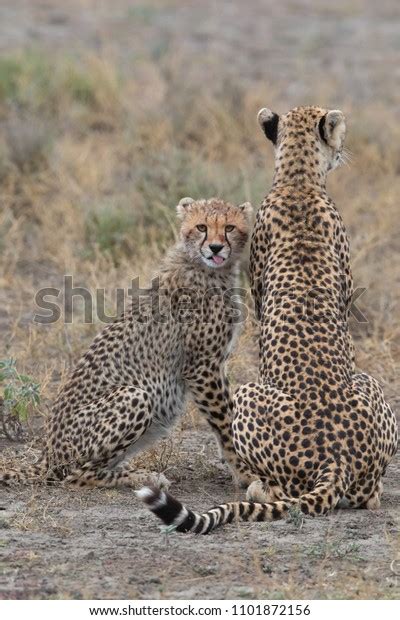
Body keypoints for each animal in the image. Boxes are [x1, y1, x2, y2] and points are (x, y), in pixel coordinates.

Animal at [0, 199, 253, 490]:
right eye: (202, 227)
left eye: (229, 227)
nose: (215, 248)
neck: (205, 267)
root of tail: (48, 454)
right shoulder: (202, 366)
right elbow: (225, 421)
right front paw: (248, 474)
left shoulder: (213, 364)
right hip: (135, 396)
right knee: (77, 476)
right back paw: (142, 477)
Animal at [138, 104, 396, 532]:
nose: (344, 150)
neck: (298, 179)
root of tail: (337, 458)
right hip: (369, 385)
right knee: (368, 497)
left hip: (247, 394)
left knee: (281, 491)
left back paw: (257, 487)